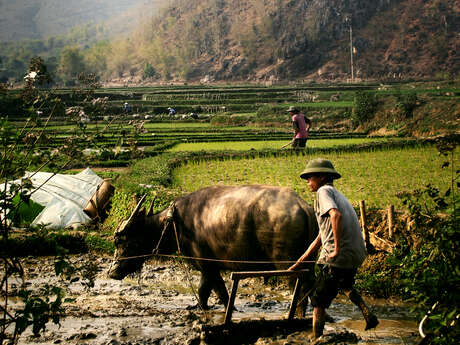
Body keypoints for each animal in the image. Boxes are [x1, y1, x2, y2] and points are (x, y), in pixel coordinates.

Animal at [108, 187, 318, 310]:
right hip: (309, 262)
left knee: (299, 288)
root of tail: (303, 207)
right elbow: (221, 292)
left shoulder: (206, 266)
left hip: (289, 266)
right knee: (310, 287)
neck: (174, 223)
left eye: (122, 241)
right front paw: (230, 309)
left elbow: (203, 290)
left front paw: (201, 308)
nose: (112, 272)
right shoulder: (213, 267)